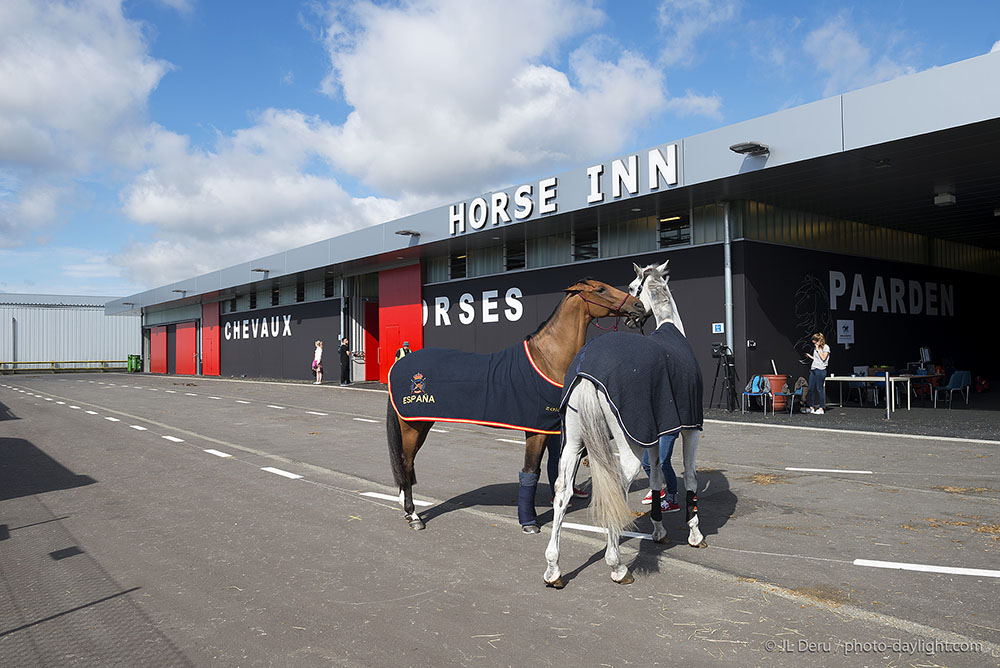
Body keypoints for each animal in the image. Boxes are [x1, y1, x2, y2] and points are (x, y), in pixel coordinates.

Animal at [386, 280, 644, 532]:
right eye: (601, 289)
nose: (638, 305)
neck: (546, 360)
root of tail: (399, 366)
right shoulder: (536, 431)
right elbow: (530, 472)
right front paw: (529, 522)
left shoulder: (549, 429)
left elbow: (549, 467)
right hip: (413, 427)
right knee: (406, 463)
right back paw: (413, 515)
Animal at [548, 258, 704, 588]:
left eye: (632, 287)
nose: (636, 310)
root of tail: (587, 370)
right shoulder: (690, 429)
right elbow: (692, 478)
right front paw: (696, 534)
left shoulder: (654, 436)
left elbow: (656, 478)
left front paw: (658, 530)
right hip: (628, 448)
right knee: (617, 487)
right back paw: (617, 565)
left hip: (573, 443)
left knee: (562, 491)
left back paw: (553, 568)